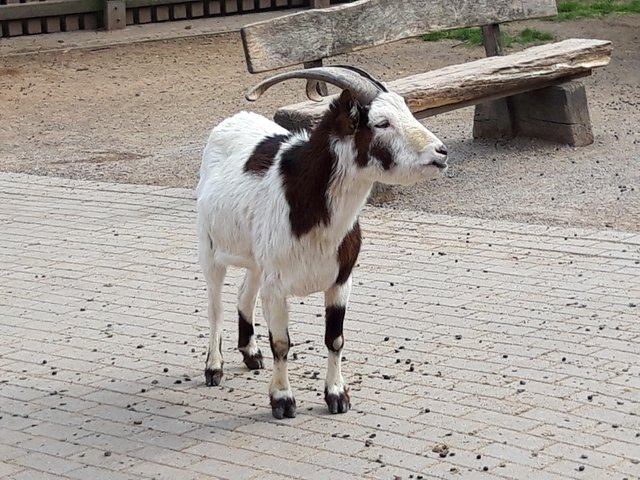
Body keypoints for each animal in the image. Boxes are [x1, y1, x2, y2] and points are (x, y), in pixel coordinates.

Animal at [198, 65, 448, 418]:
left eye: (407, 109)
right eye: (382, 123)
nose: (441, 152)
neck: (306, 203)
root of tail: (232, 120)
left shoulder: (341, 279)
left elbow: (335, 339)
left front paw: (337, 396)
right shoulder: (277, 286)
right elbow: (281, 343)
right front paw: (282, 400)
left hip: (257, 259)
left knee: (244, 294)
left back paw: (250, 353)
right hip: (208, 248)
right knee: (215, 307)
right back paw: (214, 368)